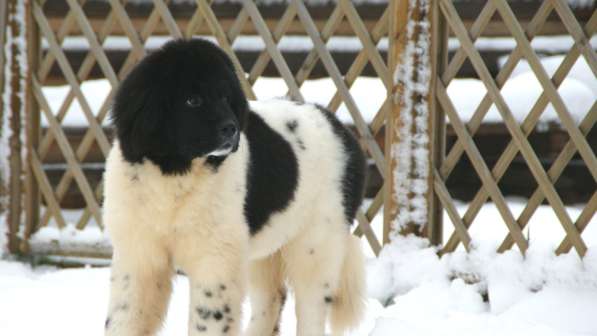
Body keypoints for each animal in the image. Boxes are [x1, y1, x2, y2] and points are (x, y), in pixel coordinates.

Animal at [104, 38, 366, 336]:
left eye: (225, 98)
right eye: (192, 100)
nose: (231, 129)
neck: (174, 175)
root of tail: (343, 130)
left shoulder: (215, 260)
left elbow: (207, 321)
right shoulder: (138, 255)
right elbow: (126, 317)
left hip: (316, 245)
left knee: (311, 309)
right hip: (262, 248)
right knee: (271, 300)